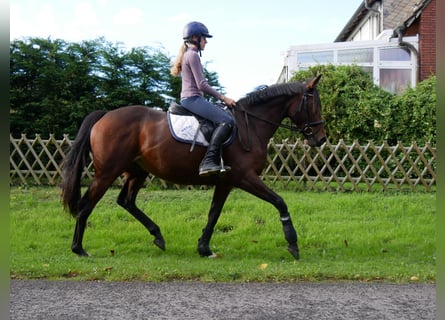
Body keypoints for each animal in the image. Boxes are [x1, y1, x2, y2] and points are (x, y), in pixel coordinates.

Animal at [60, 75, 324, 260]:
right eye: (314, 105)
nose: (320, 139)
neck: (250, 126)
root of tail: (105, 115)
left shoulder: (226, 182)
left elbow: (214, 214)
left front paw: (204, 248)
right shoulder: (245, 178)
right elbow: (280, 201)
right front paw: (292, 243)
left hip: (137, 172)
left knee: (126, 201)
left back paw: (158, 236)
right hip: (107, 173)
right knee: (86, 205)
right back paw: (78, 249)